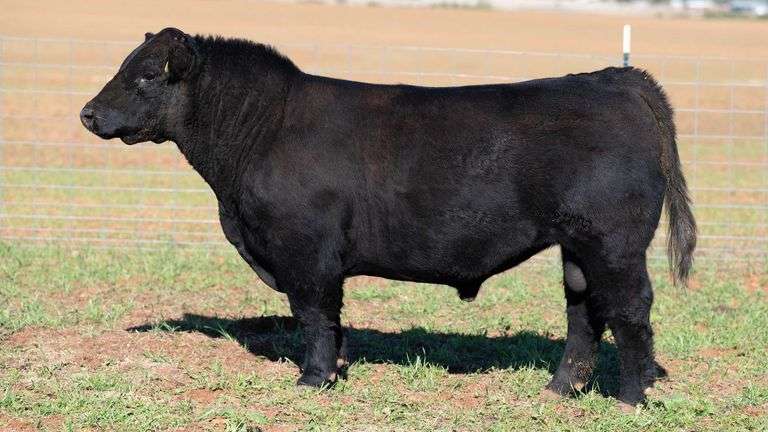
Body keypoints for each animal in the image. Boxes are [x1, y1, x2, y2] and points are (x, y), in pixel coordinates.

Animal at [80, 28, 696, 409]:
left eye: (144, 77)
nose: (87, 113)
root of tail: (611, 78)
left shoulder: (306, 252)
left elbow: (313, 315)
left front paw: (313, 380)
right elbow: (330, 320)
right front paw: (334, 370)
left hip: (614, 243)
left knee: (630, 309)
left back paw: (630, 397)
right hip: (578, 247)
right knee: (584, 311)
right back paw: (560, 389)